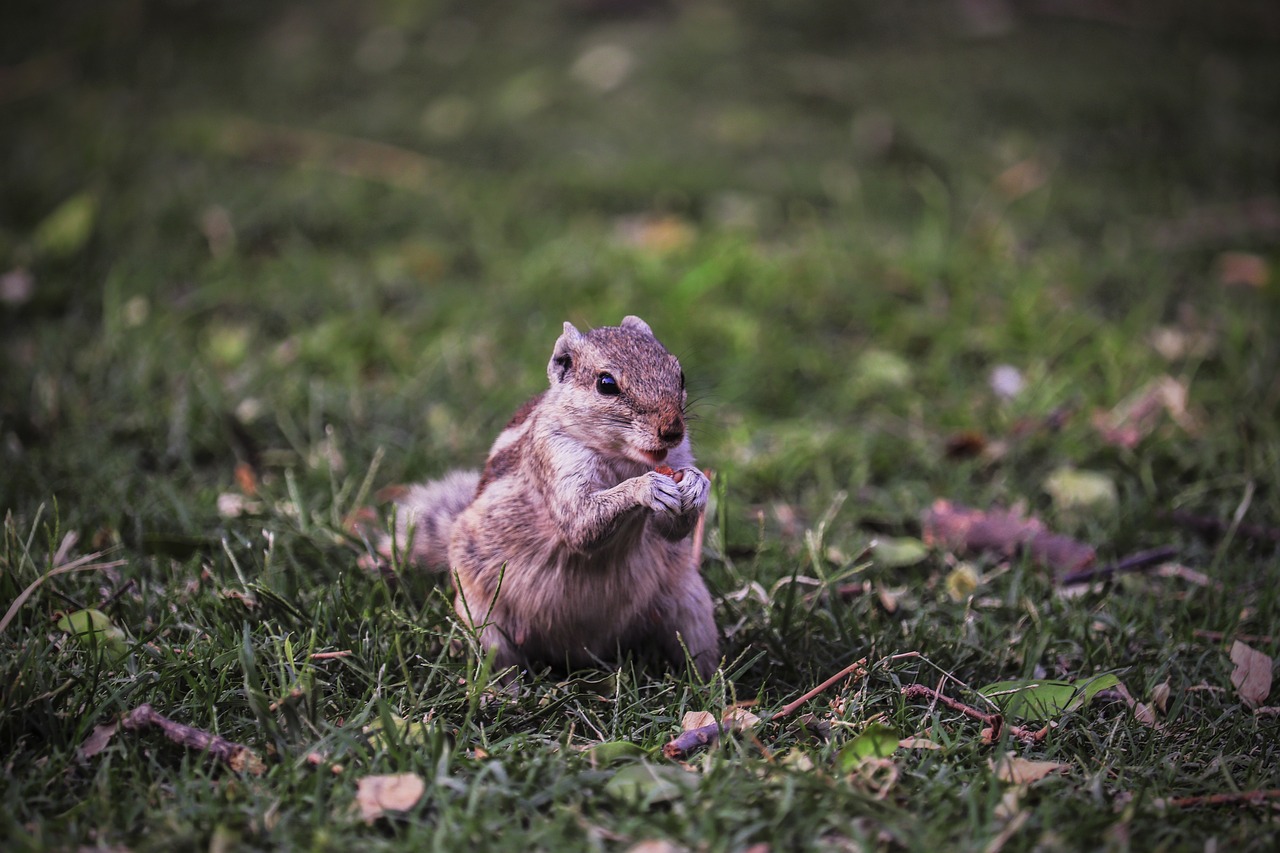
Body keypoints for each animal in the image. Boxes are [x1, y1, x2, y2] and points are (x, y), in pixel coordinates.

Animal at [386, 312, 721, 676]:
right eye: (606, 383)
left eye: (680, 374)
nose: (673, 431)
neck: (624, 459)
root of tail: (579, 653)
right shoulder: (555, 458)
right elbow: (580, 523)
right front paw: (645, 487)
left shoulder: (676, 460)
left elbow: (670, 530)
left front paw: (698, 485)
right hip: (481, 618)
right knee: (496, 660)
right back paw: (505, 687)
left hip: (690, 602)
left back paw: (710, 683)